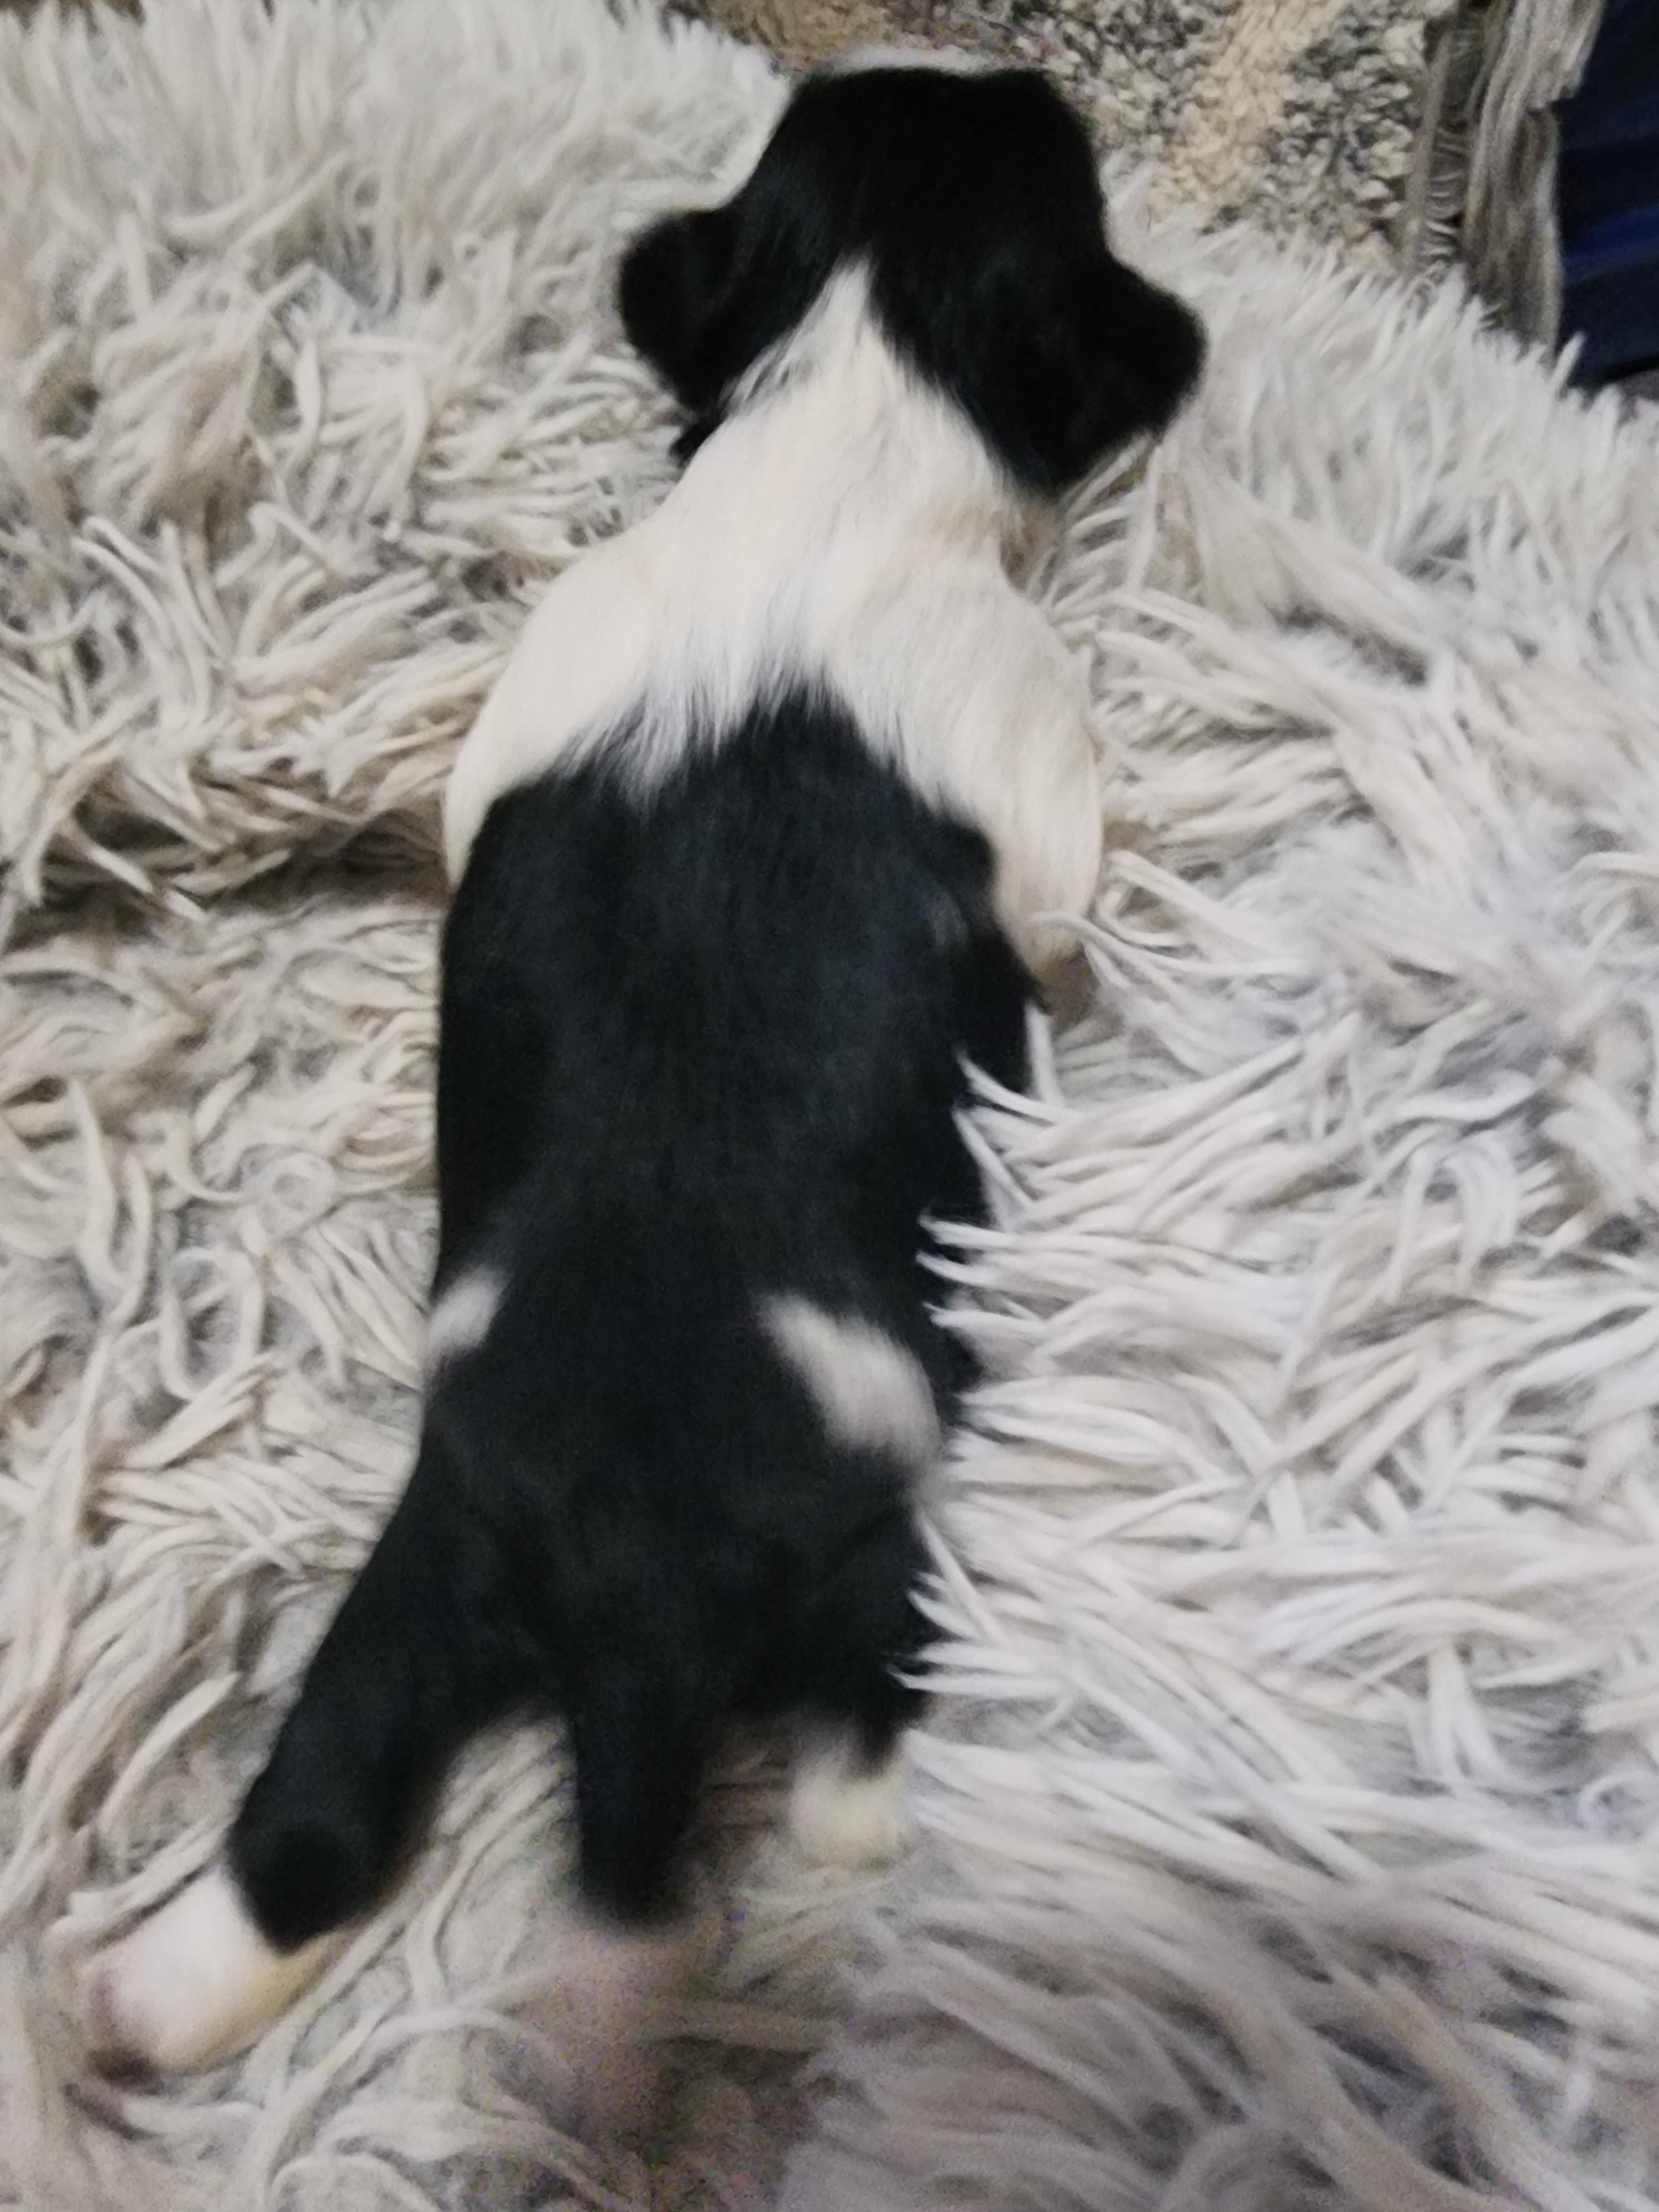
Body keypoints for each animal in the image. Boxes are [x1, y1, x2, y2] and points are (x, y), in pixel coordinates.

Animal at [78, 56, 1203, 2126]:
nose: (1023, 69)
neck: (839, 410)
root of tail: (637, 1600)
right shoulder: (1033, 771)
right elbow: (1063, 907)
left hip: (425, 1575)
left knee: (315, 1819)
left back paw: (140, 1999)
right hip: (876, 1570)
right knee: (846, 1793)